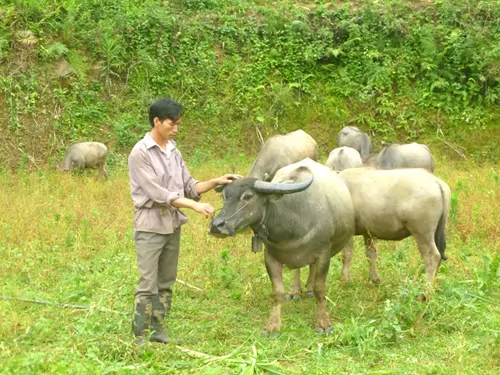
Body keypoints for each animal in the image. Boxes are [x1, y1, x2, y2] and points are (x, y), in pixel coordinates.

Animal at [209, 159, 354, 334]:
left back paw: (309, 289)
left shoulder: (324, 254)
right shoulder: (270, 257)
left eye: (248, 196)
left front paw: (323, 323)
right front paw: (272, 325)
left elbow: (320, 289)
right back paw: (295, 290)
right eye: (224, 197)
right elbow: (277, 292)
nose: (217, 226)